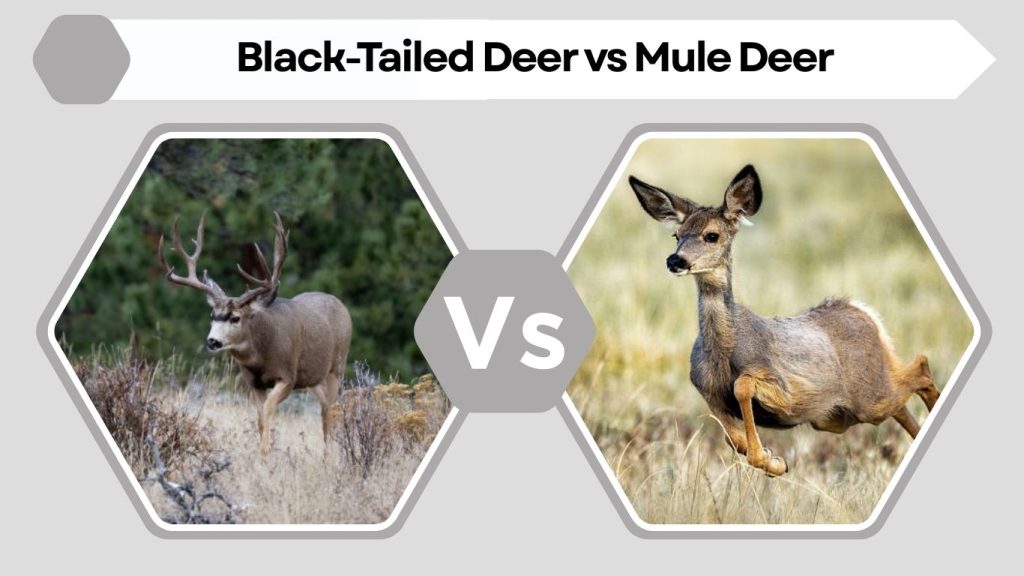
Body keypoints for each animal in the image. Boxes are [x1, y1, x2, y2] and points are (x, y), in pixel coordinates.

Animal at [158, 212, 352, 456]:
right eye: (213, 315)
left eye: (235, 317)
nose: (212, 341)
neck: (261, 355)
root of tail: (342, 306)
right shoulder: (253, 382)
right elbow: (259, 417)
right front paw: (263, 453)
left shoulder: (288, 376)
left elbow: (268, 410)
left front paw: (264, 453)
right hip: (313, 378)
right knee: (325, 407)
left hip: (337, 367)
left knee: (331, 409)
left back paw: (329, 455)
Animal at [629, 165, 940, 476]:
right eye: (676, 234)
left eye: (712, 235)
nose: (675, 260)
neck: (724, 352)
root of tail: (862, 312)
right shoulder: (706, 390)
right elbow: (732, 439)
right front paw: (770, 457)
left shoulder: (784, 389)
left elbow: (742, 386)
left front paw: (770, 460)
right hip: (838, 415)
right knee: (903, 398)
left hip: (867, 397)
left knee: (921, 365)